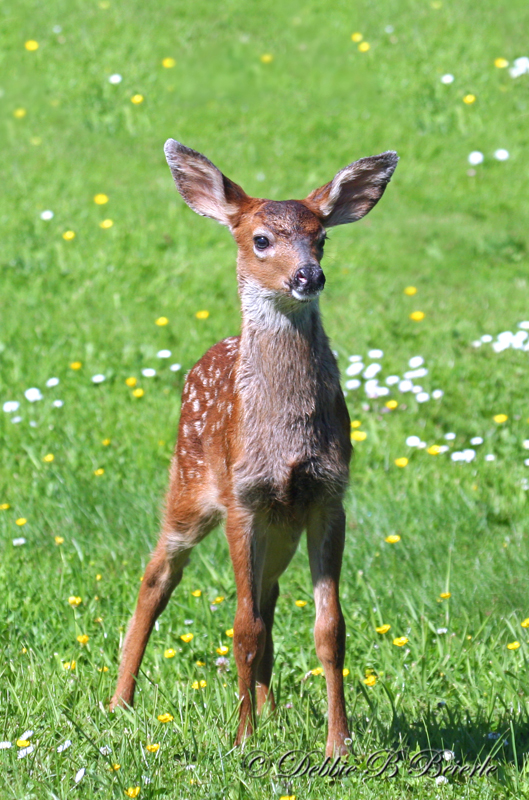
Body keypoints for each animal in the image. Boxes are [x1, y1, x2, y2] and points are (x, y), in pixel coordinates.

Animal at [110, 139, 396, 756]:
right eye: (261, 239)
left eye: (322, 237)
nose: (310, 274)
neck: (285, 440)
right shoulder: (244, 497)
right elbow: (241, 627)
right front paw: (241, 741)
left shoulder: (327, 496)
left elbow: (329, 628)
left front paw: (338, 744)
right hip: (191, 484)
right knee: (158, 576)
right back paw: (121, 701)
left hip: (280, 527)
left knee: (269, 597)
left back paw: (269, 707)